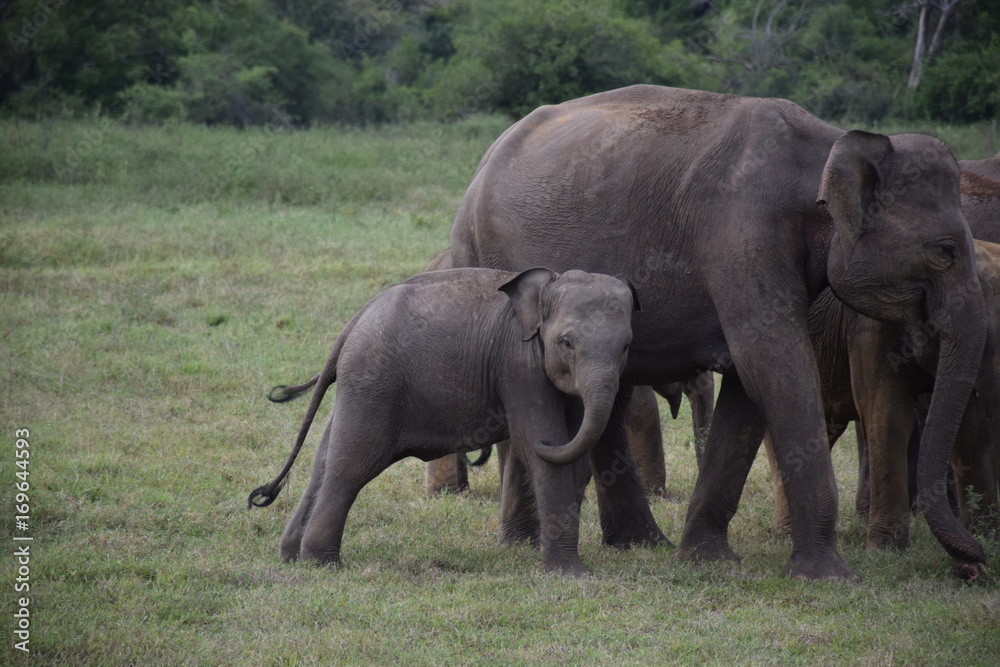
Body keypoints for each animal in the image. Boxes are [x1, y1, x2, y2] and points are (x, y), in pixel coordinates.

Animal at [250, 266, 640, 576]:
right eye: (567, 343)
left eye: (626, 347)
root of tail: (352, 324)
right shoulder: (519, 364)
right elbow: (543, 447)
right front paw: (573, 575)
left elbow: (572, 444)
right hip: (373, 384)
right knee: (352, 466)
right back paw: (323, 563)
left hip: (362, 387)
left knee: (325, 459)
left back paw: (291, 556)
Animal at [450, 85, 988, 580]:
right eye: (944, 251)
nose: (975, 563)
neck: (828, 146)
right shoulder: (742, 239)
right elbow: (773, 365)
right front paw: (831, 576)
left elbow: (749, 388)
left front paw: (706, 559)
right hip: (485, 254)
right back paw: (534, 542)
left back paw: (639, 544)